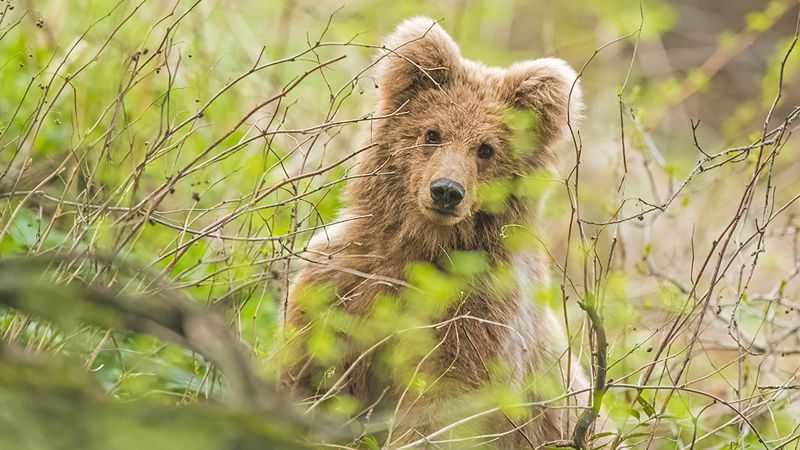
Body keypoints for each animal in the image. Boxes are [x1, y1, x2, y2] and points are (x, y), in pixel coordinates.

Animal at [282, 15, 592, 448]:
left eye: (486, 149)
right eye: (433, 133)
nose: (446, 190)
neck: (424, 245)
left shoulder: (473, 321)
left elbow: (443, 407)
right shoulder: (347, 282)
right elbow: (314, 371)